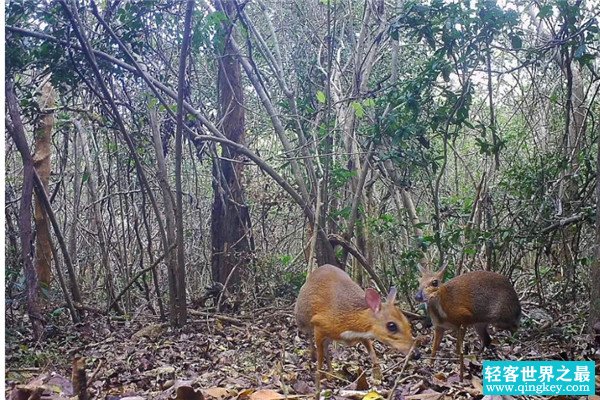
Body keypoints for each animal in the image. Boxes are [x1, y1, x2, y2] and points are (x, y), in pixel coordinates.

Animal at [296, 266, 418, 396]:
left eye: (407, 322)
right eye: (391, 326)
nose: (416, 354)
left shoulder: (363, 335)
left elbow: (372, 353)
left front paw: (377, 375)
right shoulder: (318, 324)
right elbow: (319, 359)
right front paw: (318, 382)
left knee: (326, 346)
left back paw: (331, 373)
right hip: (302, 319)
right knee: (310, 336)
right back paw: (313, 356)